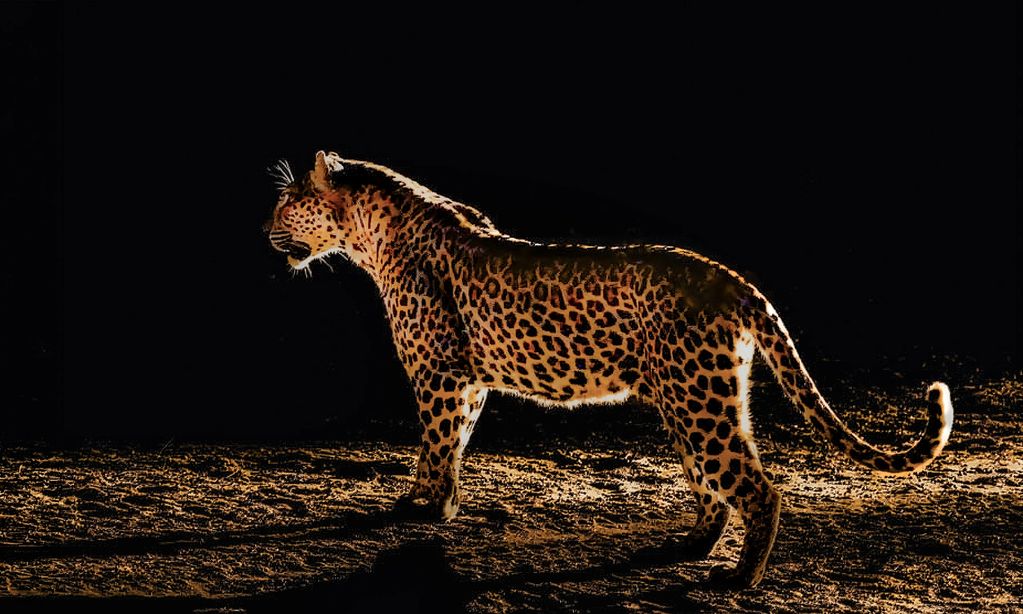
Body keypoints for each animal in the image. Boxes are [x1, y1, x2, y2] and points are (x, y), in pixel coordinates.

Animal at [264, 151, 954, 588]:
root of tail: (734, 279)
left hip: (699, 402)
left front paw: (420, 507)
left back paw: (739, 578)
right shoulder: (468, 381)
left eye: (288, 202)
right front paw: (443, 507)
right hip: (693, 399)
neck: (371, 237)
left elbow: (434, 443)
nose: (265, 231)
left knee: (759, 488)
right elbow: (455, 443)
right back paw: (690, 544)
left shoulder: (438, 374)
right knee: (713, 486)